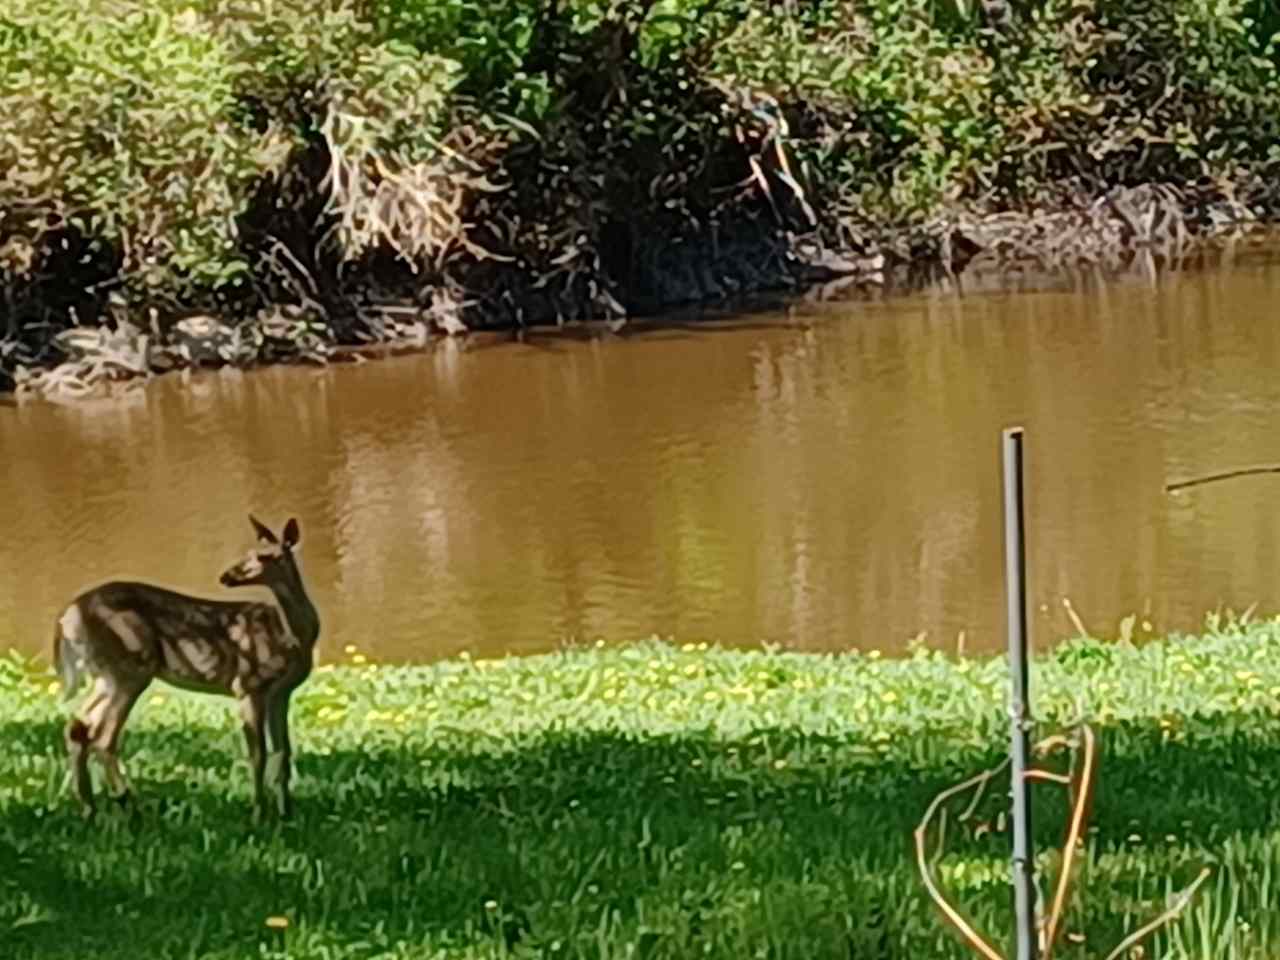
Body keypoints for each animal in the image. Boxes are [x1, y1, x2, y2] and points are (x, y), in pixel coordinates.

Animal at [56, 514, 320, 824]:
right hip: (130, 665)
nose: (226, 576)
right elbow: (259, 754)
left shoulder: (282, 692)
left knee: (78, 727)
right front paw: (258, 814)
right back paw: (128, 804)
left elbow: (283, 753)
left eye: (267, 556)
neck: (290, 637)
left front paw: (286, 813)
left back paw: (89, 807)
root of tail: (66, 619)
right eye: (249, 552)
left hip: (106, 673)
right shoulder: (248, 684)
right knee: (103, 736)